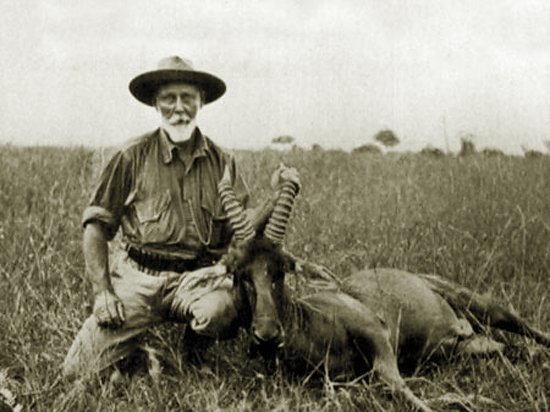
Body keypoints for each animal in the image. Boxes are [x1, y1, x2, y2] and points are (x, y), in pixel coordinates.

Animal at [215, 166, 550, 412]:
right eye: (238, 272)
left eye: (283, 268)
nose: (267, 334)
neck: (313, 319)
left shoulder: (378, 335)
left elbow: (397, 386)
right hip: (469, 346)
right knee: (511, 349)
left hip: (483, 306)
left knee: (529, 330)